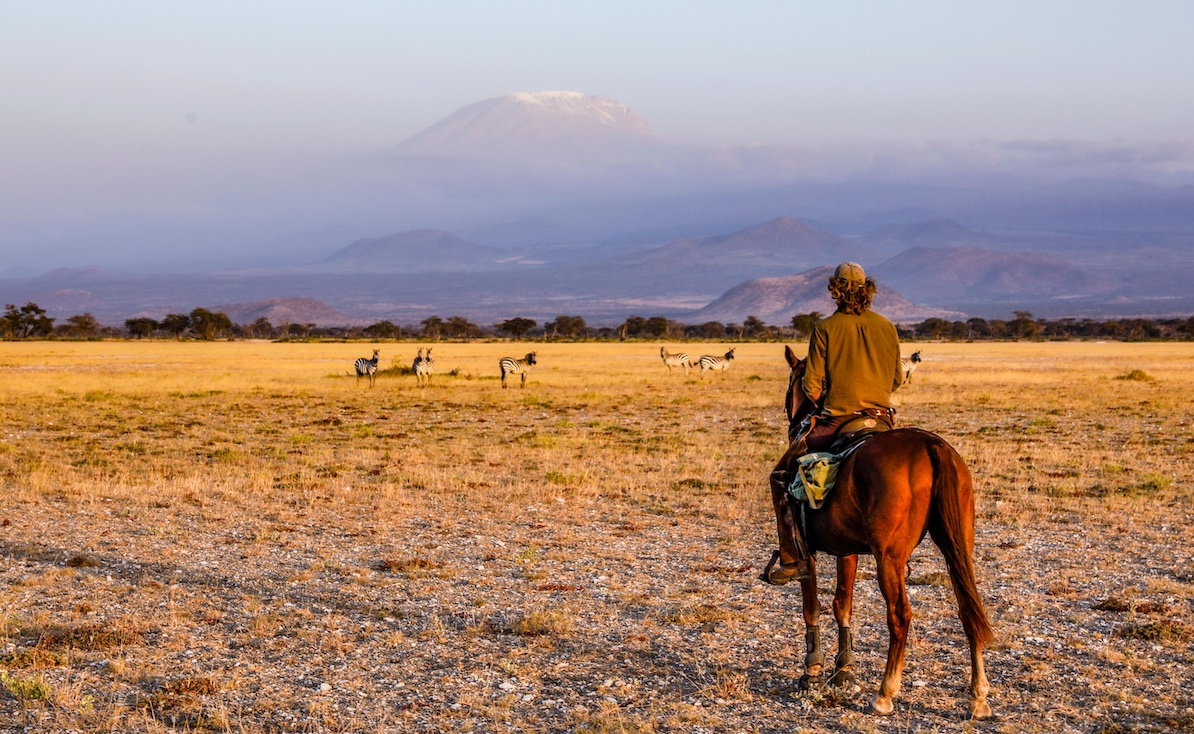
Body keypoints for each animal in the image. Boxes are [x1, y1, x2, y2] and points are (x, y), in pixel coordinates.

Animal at [773, 346, 988, 716]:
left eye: (791, 385)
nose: (793, 418)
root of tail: (932, 447)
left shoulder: (807, 552)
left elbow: (812, 606)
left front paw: (812, 671)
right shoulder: (846, 550)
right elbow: (842, 604)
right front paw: (844, 670)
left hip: (890, 557)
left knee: (900, 615)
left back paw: (885, 693)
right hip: (958, 546)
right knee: (967, 606)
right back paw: (978, 697)